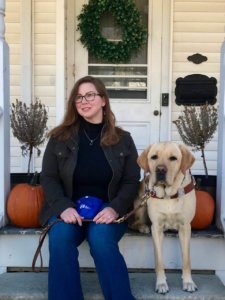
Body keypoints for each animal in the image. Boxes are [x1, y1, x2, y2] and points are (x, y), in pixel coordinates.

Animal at [130, 142, 197, 292]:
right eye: (154, 157)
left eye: (173, 158)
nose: (160, 170)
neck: (168, 194)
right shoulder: (157, 228)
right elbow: (159, 260)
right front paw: (161, 283)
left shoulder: (185, 227)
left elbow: (187, 260)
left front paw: (188, 282)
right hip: (141, 202)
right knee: (133, 223)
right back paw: (143, 227)